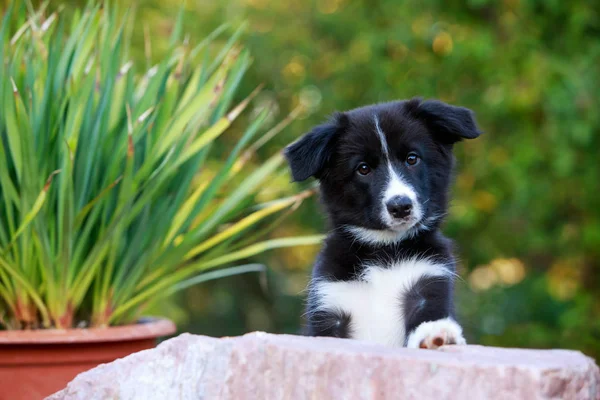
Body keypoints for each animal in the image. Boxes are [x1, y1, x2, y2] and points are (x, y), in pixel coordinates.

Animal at [284, 98, 482, 348]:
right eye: (363, 168)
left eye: (412, 159)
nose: (400, 206)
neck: (383, 250)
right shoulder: (330, 300)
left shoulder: (430, 278)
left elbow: (427, 316)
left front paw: (435, 335)